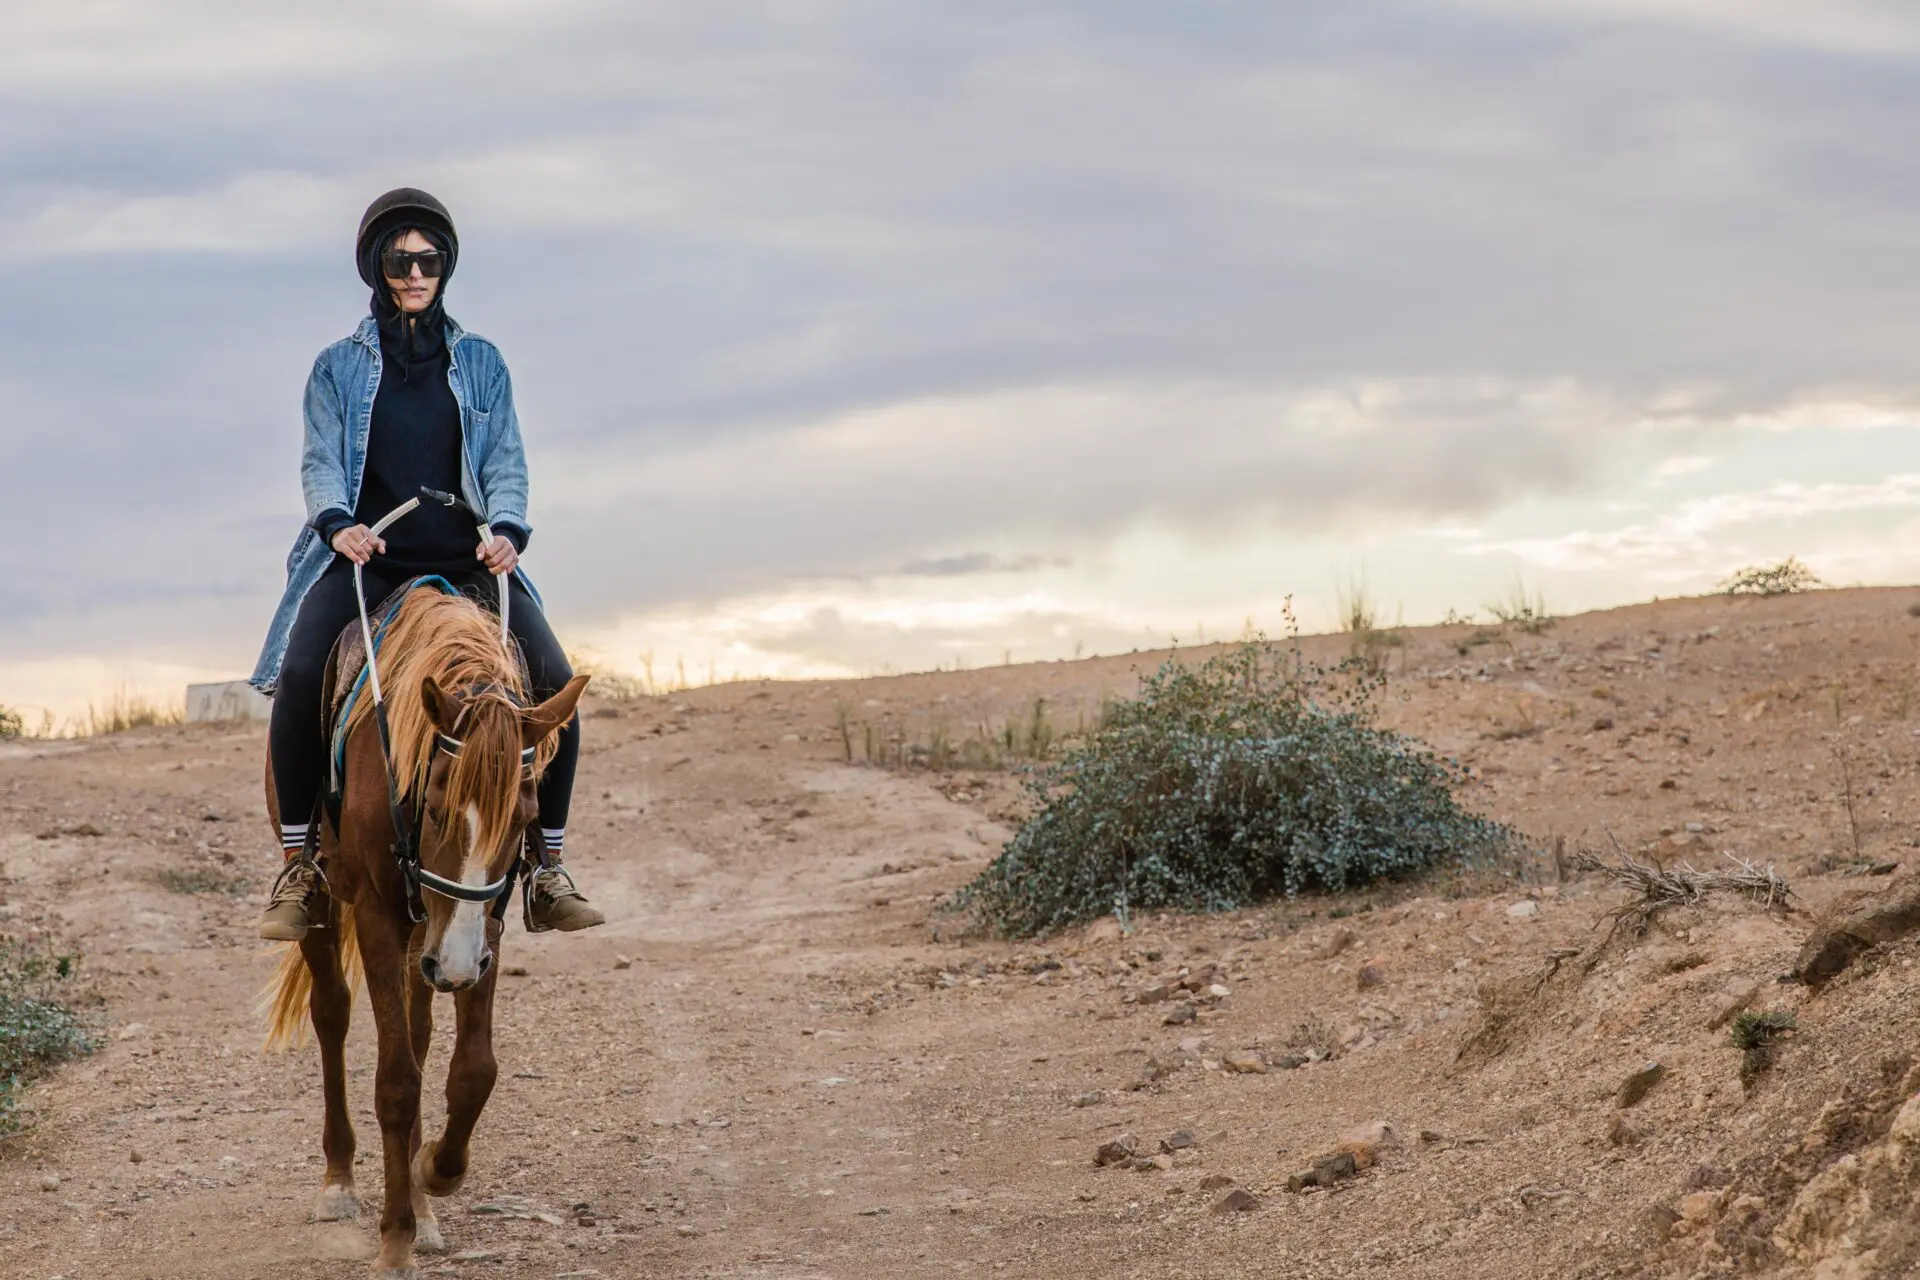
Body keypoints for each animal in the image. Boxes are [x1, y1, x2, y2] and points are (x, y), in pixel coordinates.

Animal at [261, 587, 583, 1274]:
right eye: (435, 807)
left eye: (526, 815)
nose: (454, 967)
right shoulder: (380, 915)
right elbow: (396, 1082)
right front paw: (395, 1241)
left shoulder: (482, 922)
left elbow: (473, 1069)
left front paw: (437, 1170)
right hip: (332, 906)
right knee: (332, 1014)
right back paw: (340, 1182)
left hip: (427, 938)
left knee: (419, 1032)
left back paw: (424, 1205)